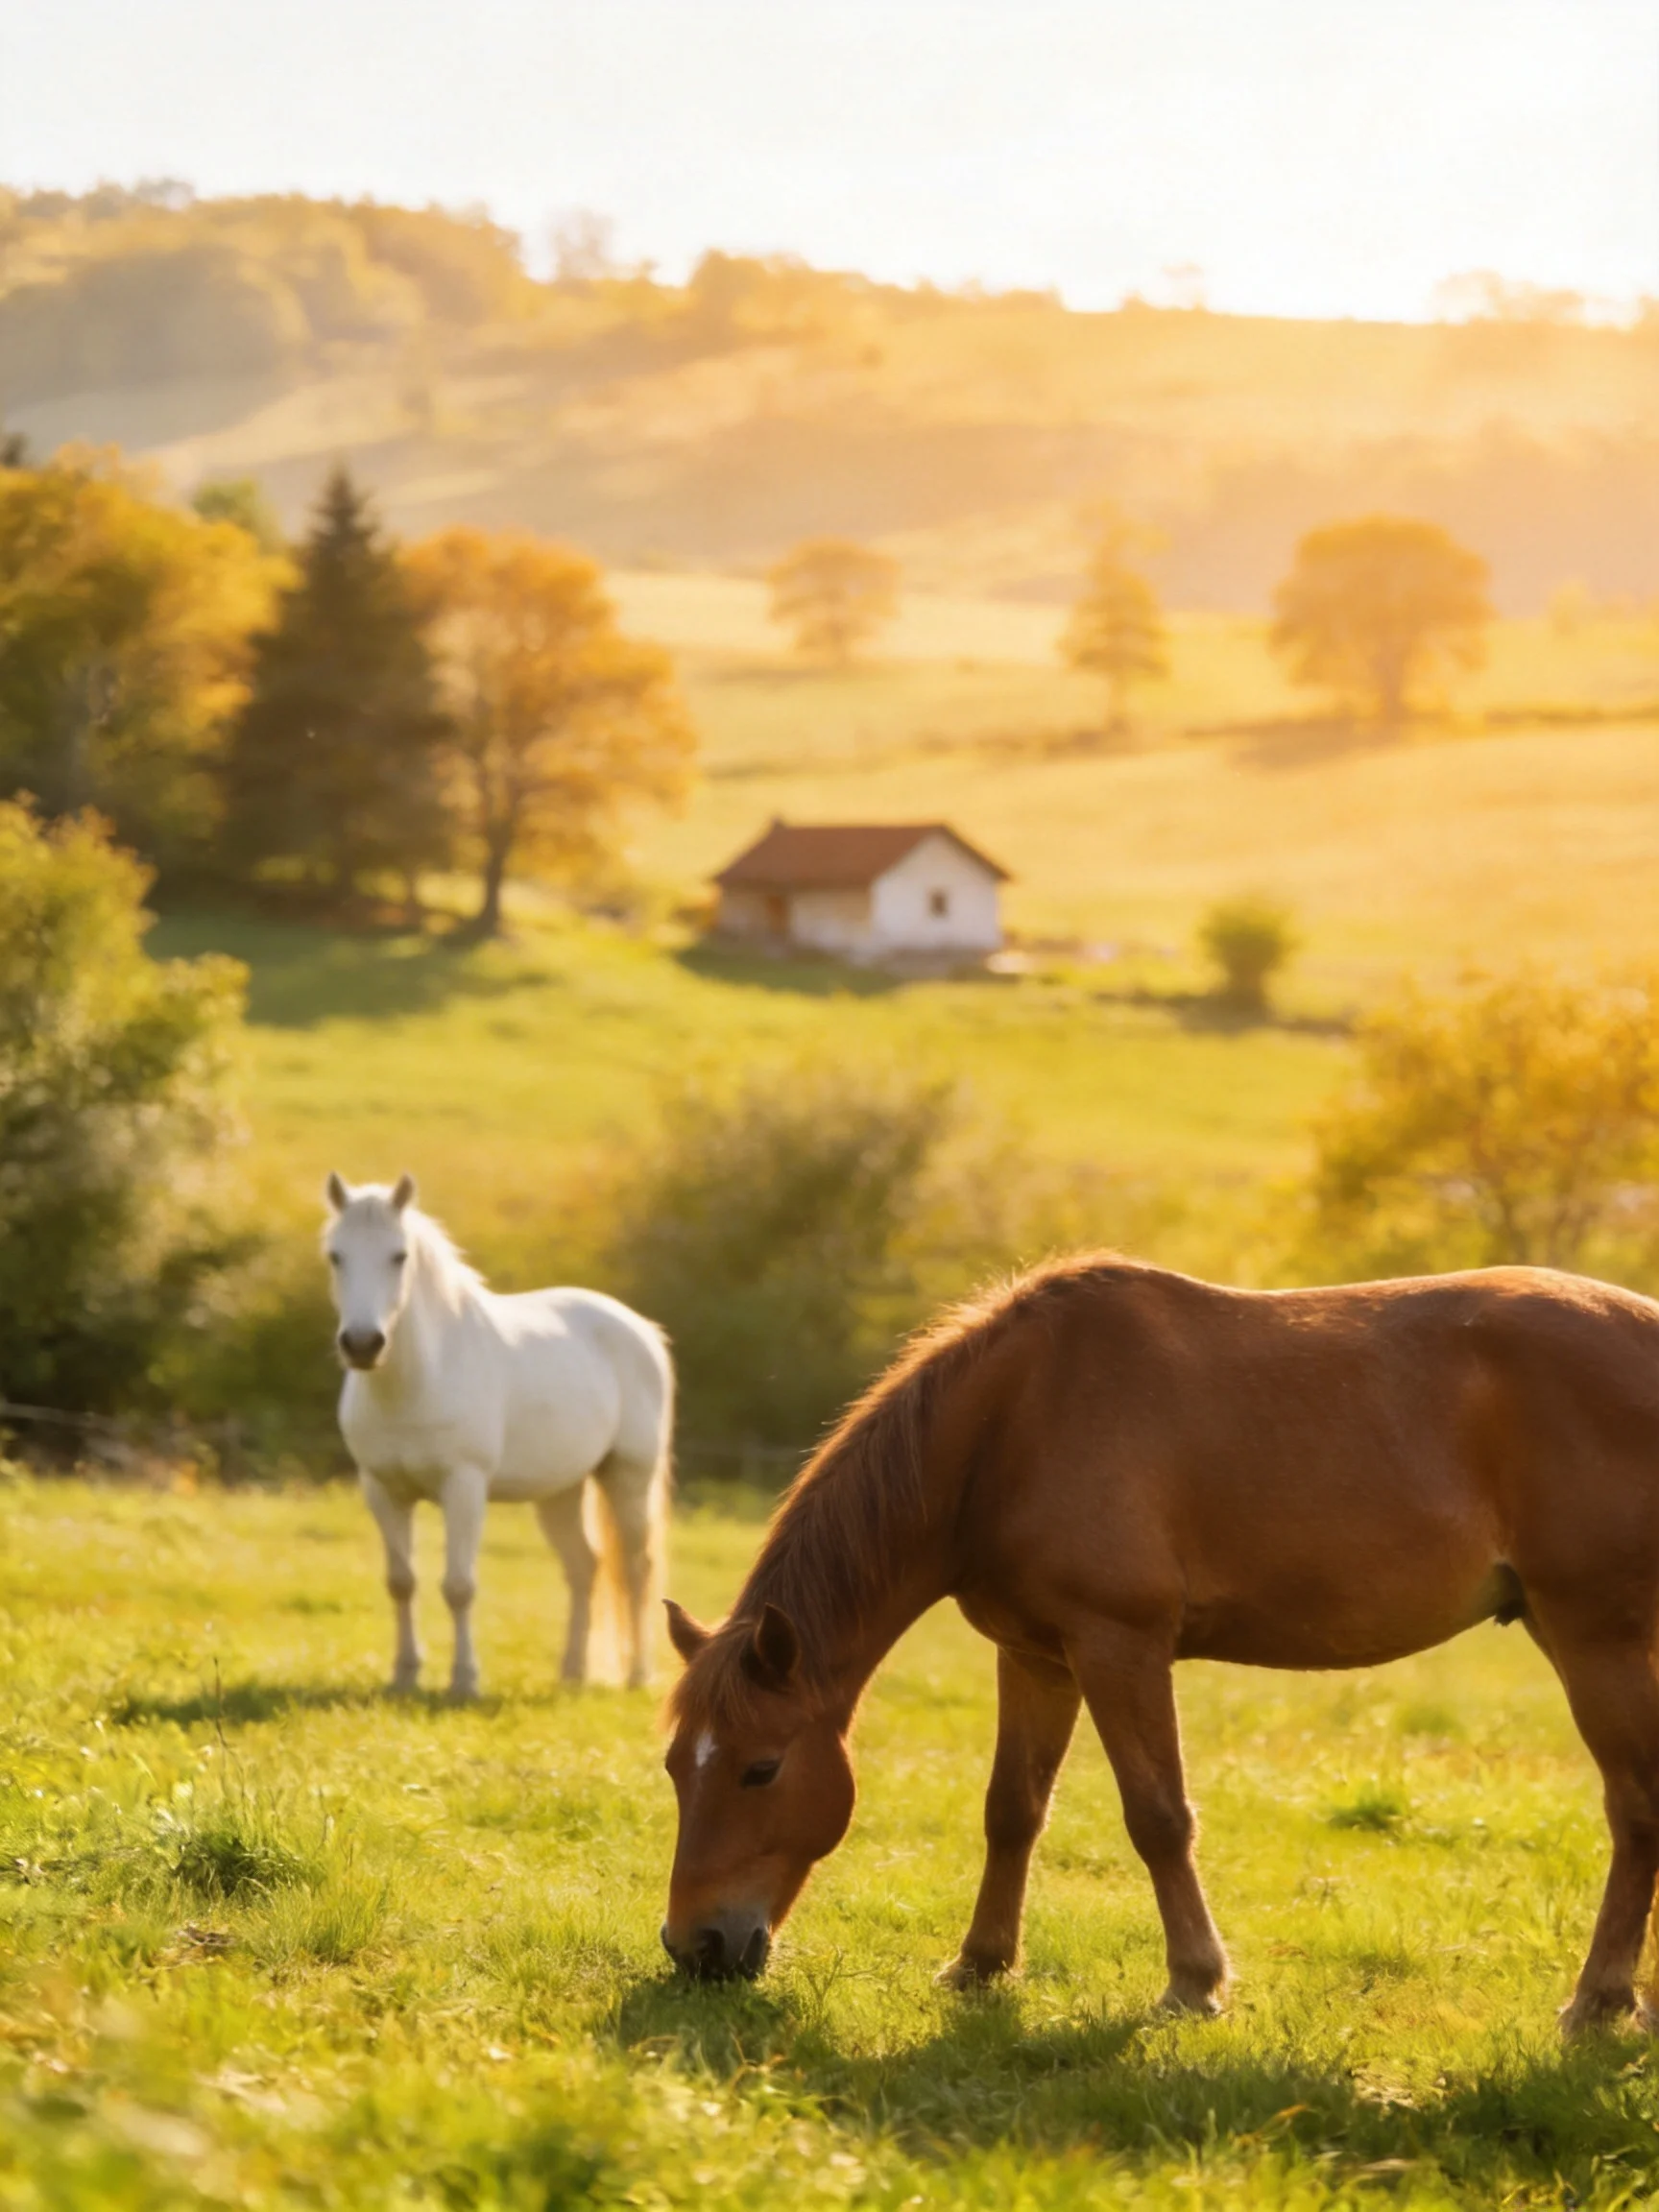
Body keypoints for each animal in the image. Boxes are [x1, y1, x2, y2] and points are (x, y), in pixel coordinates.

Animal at [324, 1173, 672, 1697]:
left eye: (399, 1255)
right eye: (335, 1255)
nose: (363, 1345)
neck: (420, 1379)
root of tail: (640, 1329)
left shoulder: (464, 1487)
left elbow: (459, 1586)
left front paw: (464, 1681)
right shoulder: (382, 1490)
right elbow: (401, 1581)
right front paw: (404, 1676)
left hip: (628, 1476)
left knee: (636, 1567)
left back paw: (637, 1675)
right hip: (560, 1491)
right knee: (584, 1567)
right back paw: (572, 1672)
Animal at [661, 1252, 1659, 2032]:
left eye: (760, 1769)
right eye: (676, 1765)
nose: (694, 1945)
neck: (1013, 1422)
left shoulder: (1119, 1646)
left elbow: (1158, 1816)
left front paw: (1193, 1983)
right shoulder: (1035, 1657)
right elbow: (1011, 1810)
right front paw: (980, 1965)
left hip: (1595, 1638)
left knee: (1635, 1808)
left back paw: (1598, 2001)